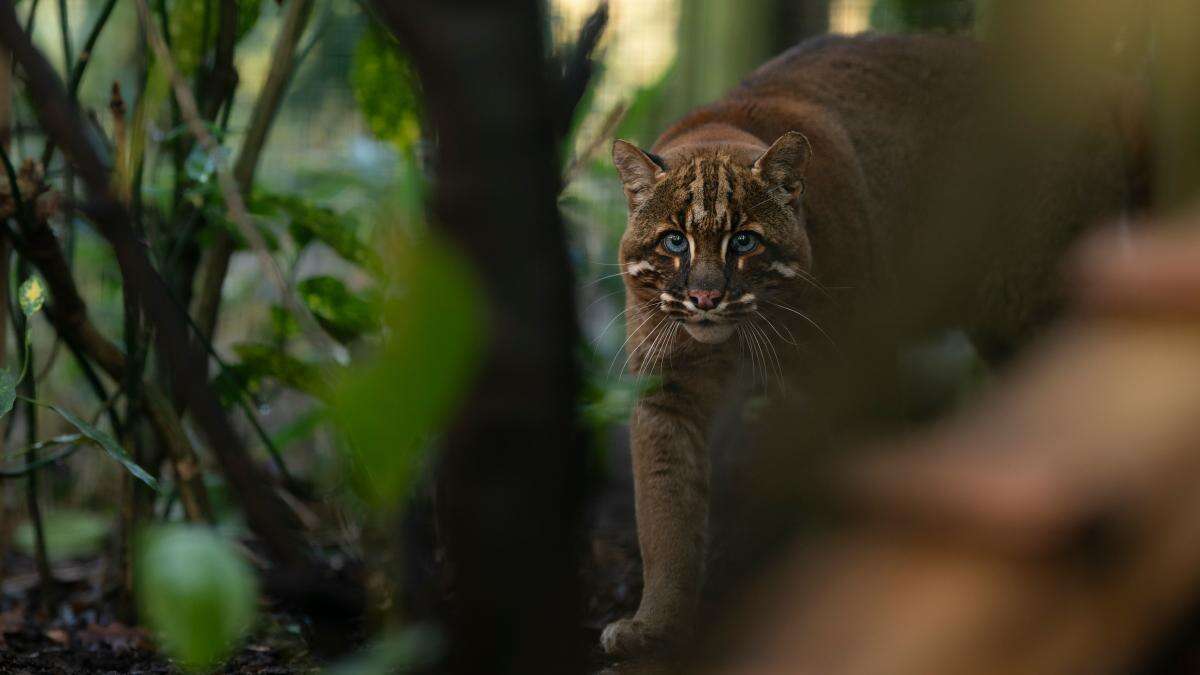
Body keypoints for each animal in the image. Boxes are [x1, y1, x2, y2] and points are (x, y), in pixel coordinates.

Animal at [604, 32, 1137, 658]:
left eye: (744, 241)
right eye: (673, 242)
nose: (707, 297)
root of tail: (1103, 82)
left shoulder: (857, 364)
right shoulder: (668, 390)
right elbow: (663, 510)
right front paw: (656, 624)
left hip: (1040, 300)